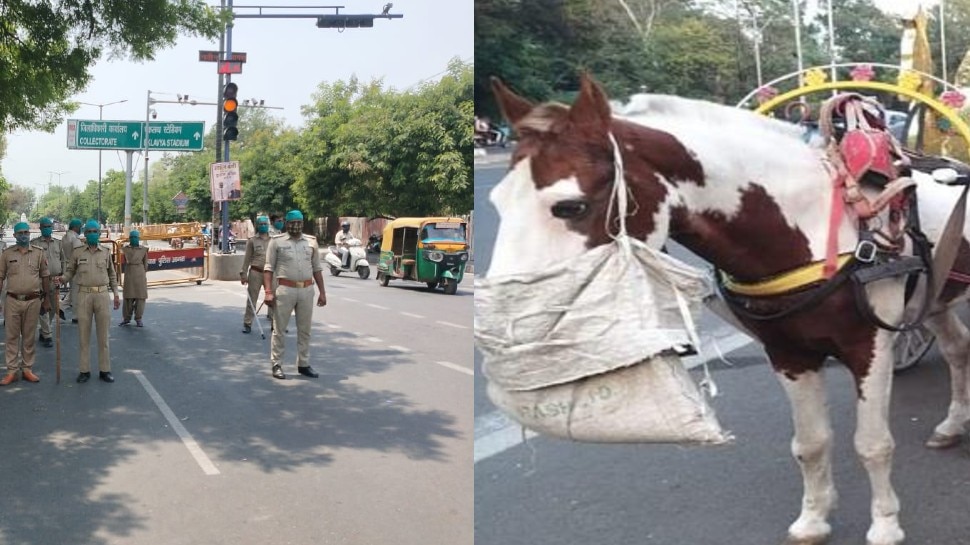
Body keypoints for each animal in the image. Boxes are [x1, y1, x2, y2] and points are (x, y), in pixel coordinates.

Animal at [488, 75, 968, 544]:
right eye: (496, 201)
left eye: (570, 206)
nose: (504, 323)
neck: (812, 226)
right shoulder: (789, 354)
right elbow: (810, 442)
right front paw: (813, 518)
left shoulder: (869, 347)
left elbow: (872, 444)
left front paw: (885, 525)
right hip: (933, 295)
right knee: (956, 349)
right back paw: (953, 423)